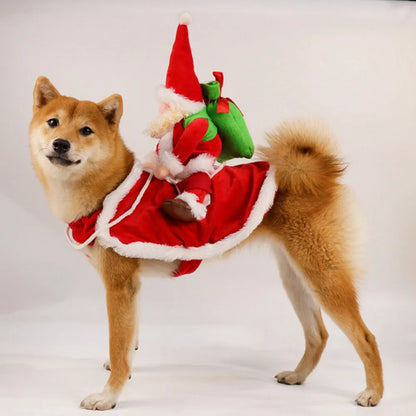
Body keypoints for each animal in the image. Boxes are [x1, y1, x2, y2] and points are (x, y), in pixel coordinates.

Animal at [27, 77, 382, 410]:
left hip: (323, 276)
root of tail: (311, 172)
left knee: (366, 336)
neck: (110, 190)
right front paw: (123, 373)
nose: (61, 144)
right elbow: (129, 343)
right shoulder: (132, 286)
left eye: (86, 130)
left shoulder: (118, 286)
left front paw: (108, 396)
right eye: (53, 122)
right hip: (295, 278)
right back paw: (297, 376)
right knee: (318, 335)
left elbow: (118, 344)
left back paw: (374, 393)